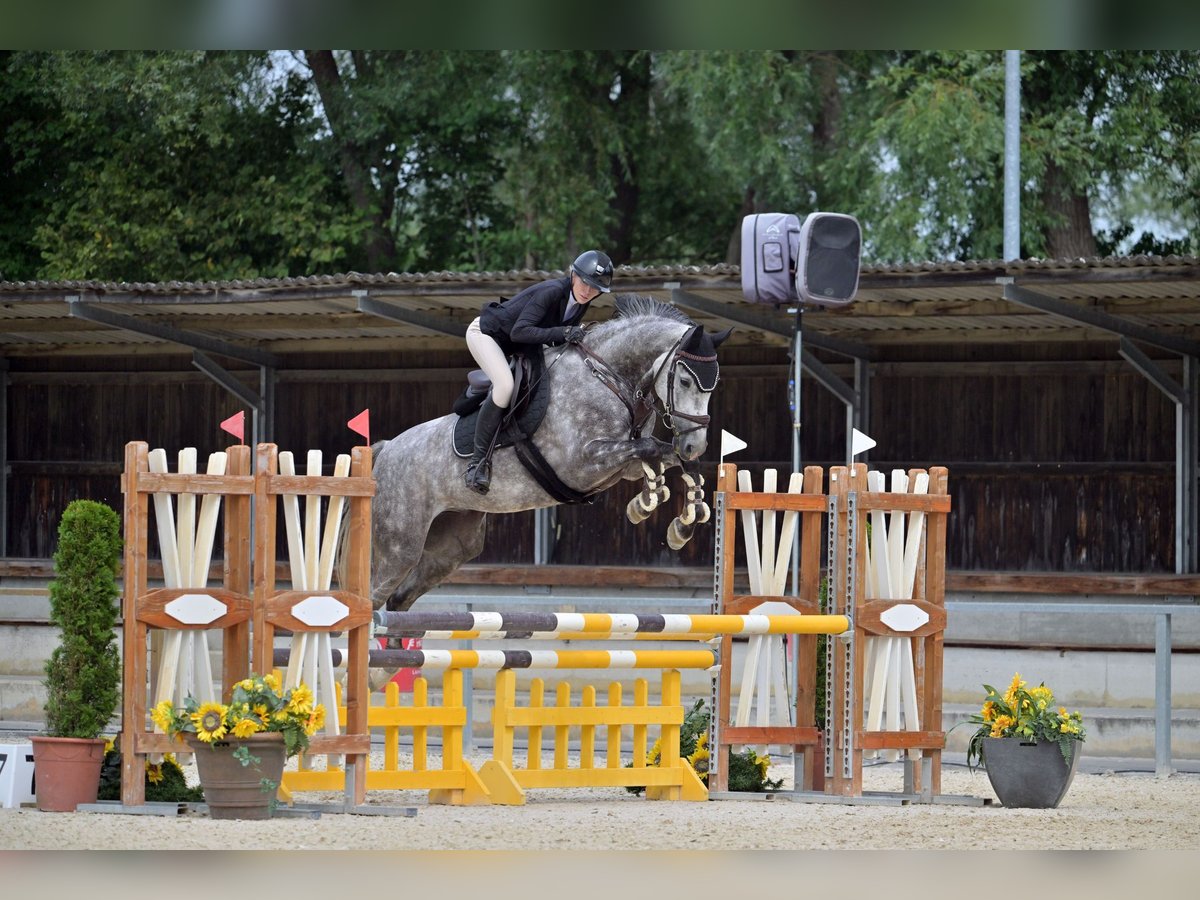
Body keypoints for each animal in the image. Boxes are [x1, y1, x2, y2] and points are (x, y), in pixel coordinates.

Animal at [360, 292, 729, 619]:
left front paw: (682, 521)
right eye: (685, 380)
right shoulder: (583, 462)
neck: (610, 376)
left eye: (713, 386)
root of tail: (387, 448)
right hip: (400, 545)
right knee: (372, 597)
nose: (695, 443)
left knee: (399, 600)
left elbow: (671, 459)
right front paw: (647, 502)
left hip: (451, 546)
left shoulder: (623, 467)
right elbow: (650, 449)